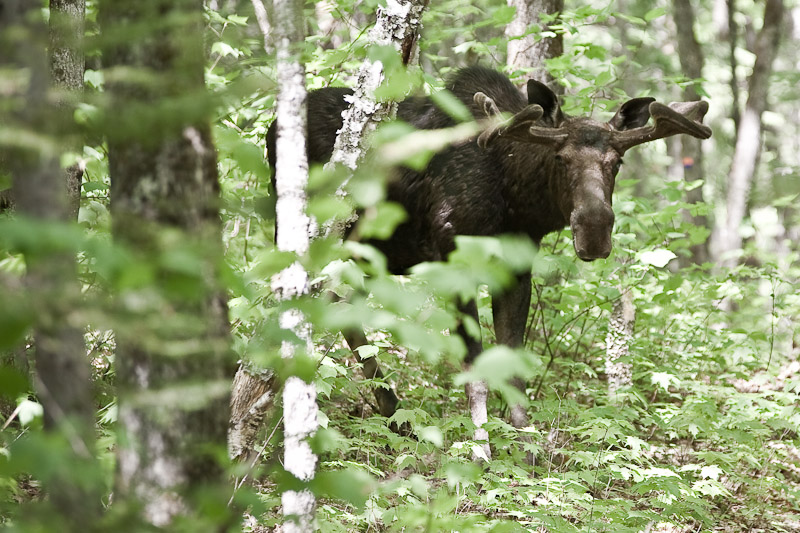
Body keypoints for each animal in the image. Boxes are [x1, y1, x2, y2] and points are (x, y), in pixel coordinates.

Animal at [266, 66, 708, 458]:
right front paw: (481, 449)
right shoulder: (454, 263)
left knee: (341, 306)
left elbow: (512, 368)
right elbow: (474, 370)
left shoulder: (515, 271)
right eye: (560, 158)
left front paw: (528, 448)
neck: (514, 196)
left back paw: (393, 414)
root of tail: (270, 130)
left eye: (617, 162)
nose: (594, 230)